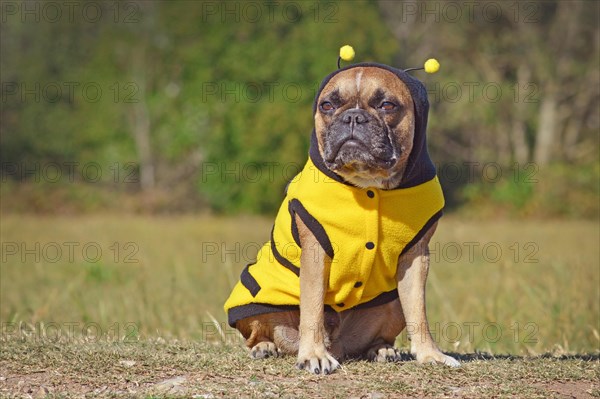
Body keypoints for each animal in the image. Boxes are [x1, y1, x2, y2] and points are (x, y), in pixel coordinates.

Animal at [223, 60, 462, 376]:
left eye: (387, 105)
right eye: (327, 105)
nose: (353, 117)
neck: (368, 183)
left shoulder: (415, 258)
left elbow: (418, 310)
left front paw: (430, 354)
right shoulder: (315, 253)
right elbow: (312, 307)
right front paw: (314, 355)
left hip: (392, 304)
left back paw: (383, 350)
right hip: (256, 304)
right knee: (258, 332)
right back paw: (265, 347)